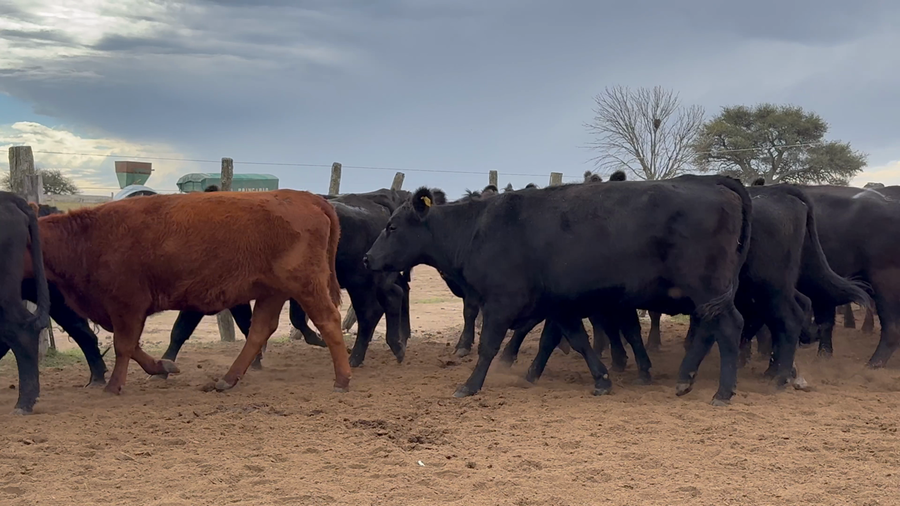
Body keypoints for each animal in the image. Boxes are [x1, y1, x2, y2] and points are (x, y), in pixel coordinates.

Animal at [23, 190, 351, 395]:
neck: (88, 237)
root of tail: (304, 197)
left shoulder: (127, 305)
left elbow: (123, 345)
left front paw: (114, 385)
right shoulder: (120, 311)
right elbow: (132, 346)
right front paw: (162, 366)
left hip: (306, 286)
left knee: (328, 322)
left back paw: (342, 380)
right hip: (273, 292)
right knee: (260, 330)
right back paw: (227, 379)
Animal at [159, 188, 413, 370]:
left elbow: (183, 327)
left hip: (359, 281)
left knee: (370, 312)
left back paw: (358, 357)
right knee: (394, 297)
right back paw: (396, 346)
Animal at [364, 174, 752, 405]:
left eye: (392, 227)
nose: (368, 258)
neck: (478, 229)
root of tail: (718, 186)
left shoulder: (501, 301)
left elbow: (489, 346)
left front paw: (470, 385)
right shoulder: (558, 305)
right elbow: (576, 340)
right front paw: (602, 379)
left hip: (706, 287)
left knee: (729, 326)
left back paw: (723, 391)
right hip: (704, 295)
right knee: (710, 328)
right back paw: (686, 380)